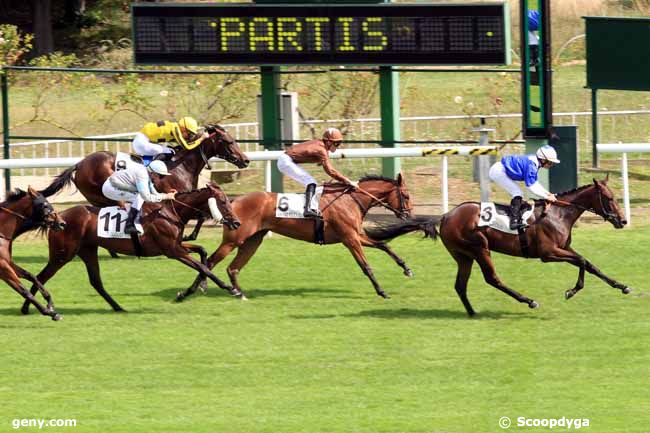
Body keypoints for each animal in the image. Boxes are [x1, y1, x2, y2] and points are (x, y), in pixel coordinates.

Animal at [0, 187, 66, 318]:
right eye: (45, 205)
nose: (62, 223)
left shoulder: (8, 262)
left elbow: (31, 276)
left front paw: (50, 303)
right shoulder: (3, 267)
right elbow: (23, 290)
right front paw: (49, 312)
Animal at [22, 182, 243, 314]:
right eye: (223, 201)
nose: (237, 223)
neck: (170, 212)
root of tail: (57, 218)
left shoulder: (176, 246)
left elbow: (203, 253)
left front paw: (194, 288)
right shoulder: (172, 251)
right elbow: (203, 266)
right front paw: (232, 289)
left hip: (87, 251)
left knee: (96, 282)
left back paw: (118, 307)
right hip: (62, 254)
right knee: (41, 276)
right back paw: (28, 307)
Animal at [39, 123, 248, 240]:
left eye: (234, 140)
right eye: (228, 141)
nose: (245, 160)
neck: (180, 166)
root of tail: (79, 164)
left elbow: (203, 215)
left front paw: (190, 235)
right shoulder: (174, 199)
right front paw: (188, 236)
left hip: (97, 199)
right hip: (106, 195)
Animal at [175, 174, 412, 302]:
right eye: (406, 195)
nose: (408, 215)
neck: (351, 199)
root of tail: (232, 203)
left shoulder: (356, 235)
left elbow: (383, 245)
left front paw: (406, 268)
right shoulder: (350, 239)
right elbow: (366, 266)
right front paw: (382, 291)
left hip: (253, 240)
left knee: (233, 268)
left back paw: (239, 293)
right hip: (233, 240)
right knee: (210, 262)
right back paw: (189, 292)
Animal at [368, 177, 632, 316]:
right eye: (609, 199)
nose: (622, 221)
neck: (559, 214)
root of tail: (445, 216)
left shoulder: (564, 249)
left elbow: (590, 264)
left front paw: (622, 286)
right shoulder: (548, 253)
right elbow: (582, 262)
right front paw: (572, 290)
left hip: (463, 255)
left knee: (460, 285)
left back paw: (472, 312)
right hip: (479, 248)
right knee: (492, 278)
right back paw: (528, 300)